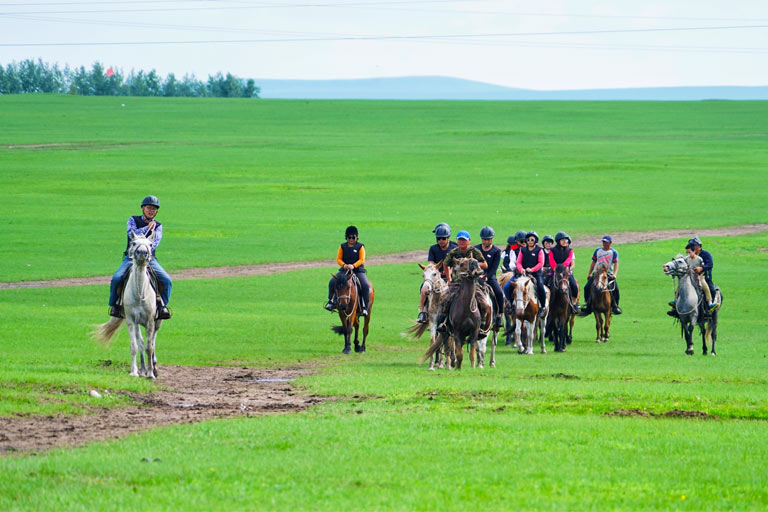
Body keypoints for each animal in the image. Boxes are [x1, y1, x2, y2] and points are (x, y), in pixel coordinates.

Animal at [94, 231, 164, 376]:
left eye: (150, 244)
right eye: (134, 243)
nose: (142, 252)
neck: (140, 294)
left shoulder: (150, 321)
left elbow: (150, 347)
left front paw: (151, 374)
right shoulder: (131, 320)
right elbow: (135, 346)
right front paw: (135, 372)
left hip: (158, 322)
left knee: (152, 342)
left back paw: (153, 367)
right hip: (138, 324)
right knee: (141, 342)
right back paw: (142, 369)